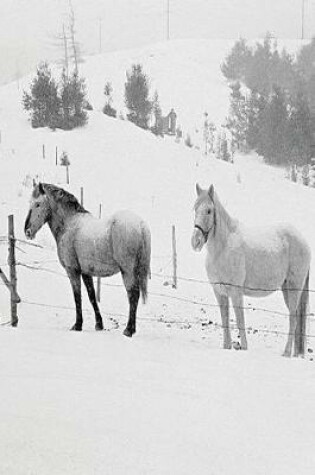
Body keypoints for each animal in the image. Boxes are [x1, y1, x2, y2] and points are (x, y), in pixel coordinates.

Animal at [25, 184, 151, 336]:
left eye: (37, 204)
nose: (27, 231)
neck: (69, 224)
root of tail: (140, 225)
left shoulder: (73, 271)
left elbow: (77, 297)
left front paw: (78, 325)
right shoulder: (86, 272)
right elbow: (91, 296)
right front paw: (99, 324)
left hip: (128, 271)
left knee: (133, 295)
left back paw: (128, 330)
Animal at [191, 184, 312, 358]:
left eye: (208, 210)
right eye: (195, 209)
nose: (196, 241)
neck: (223, 249)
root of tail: (304, 241)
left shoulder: (236, 292)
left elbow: (240, 319)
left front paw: (244, 347)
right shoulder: (220, 292)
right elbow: (225, 318)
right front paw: (227, 346)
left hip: (294, 288)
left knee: (293, 318)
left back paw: (286, 353)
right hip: (286, 289)